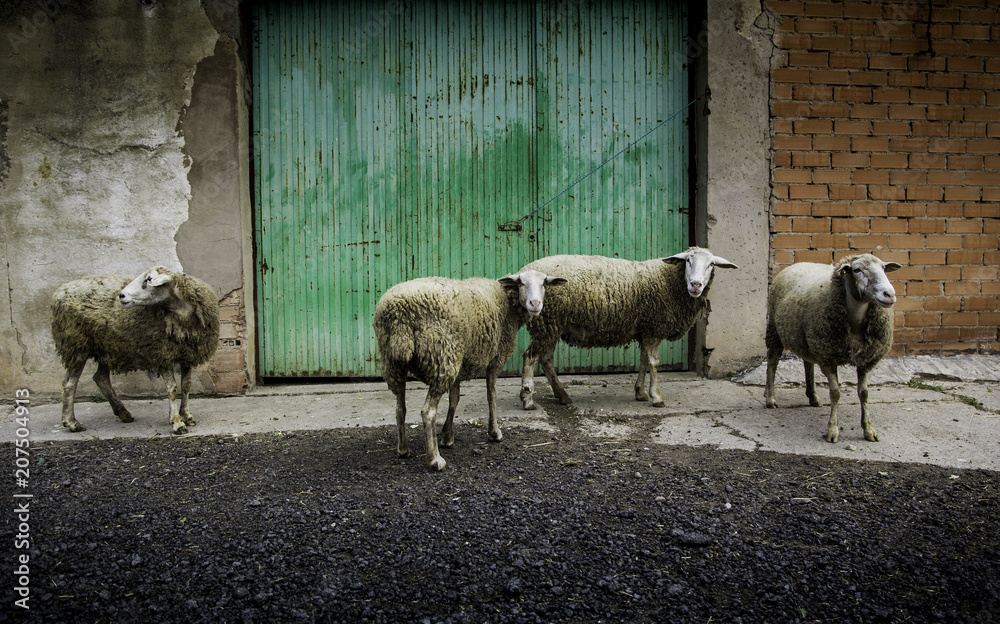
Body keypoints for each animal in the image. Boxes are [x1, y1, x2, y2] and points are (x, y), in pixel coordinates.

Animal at [51, 267, 220, 435]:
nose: (121, 295)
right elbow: (172, 389)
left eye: (149, 279)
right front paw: (177, 423)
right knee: (69, 383)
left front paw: (187, 416)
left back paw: (123, 413)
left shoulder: (187, 354)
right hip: (76, 345)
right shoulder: (163, 353)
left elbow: (186, 385)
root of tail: (60, 290)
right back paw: (71, 423)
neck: (181, 313)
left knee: (100, 378)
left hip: (108, 347)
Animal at [373, 270, 566, 471]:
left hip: (395, 363)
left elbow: (454, 400)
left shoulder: (460, 363)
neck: (506, 304)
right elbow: (491, 396)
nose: (535, 304)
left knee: (399, 408)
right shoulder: (494, 360)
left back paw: (403, 449)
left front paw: (447, 437)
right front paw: (494, 432)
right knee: (428, 412)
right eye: (520, 283)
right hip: (442, 358)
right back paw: (435, 459)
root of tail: (399, 314)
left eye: (544, 283)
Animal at [516, 247, 739, 410]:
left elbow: (643, 361)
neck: (668, 281)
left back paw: (562, 395)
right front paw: (656, 397)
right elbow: (654, 363)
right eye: (688, 261)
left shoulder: (645, 330)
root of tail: (523, 271)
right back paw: (528, 400)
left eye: (711, 264)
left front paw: (640, 392)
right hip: (547, 323)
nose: (696, 284)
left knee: (546, 360)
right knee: (530, 357)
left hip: (552, 326)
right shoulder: (654, 329)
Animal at [764, 254, 902, 443]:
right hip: (775, 331)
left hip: (808, 340)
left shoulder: (865, 360)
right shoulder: (828, 357)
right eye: (857, 270)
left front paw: (869, 430)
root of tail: (800, 263)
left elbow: (864, 393)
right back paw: (770, 399)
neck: (855, 323)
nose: (889, 294)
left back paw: (813, 397)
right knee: (772, 362)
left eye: (883, 268)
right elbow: (835, 393)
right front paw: (832, 431)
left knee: (808, 364)